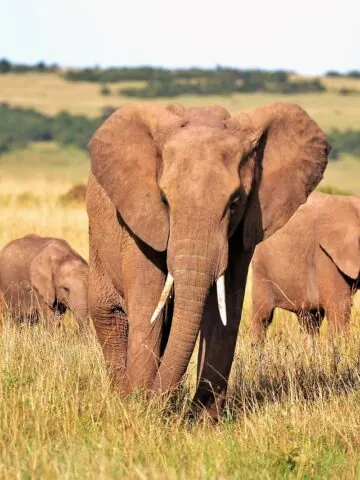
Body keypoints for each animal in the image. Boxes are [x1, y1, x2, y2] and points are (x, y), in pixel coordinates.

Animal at [86, 102, 330, 420]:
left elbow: (226, 309)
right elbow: (148, 303)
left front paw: (202, 421)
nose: (153, 403)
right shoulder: (139, 220)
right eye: (164, 200)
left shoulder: (243, 228)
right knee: (110, 315)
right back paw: (122, 397)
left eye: (235, 201)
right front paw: (139, 408)